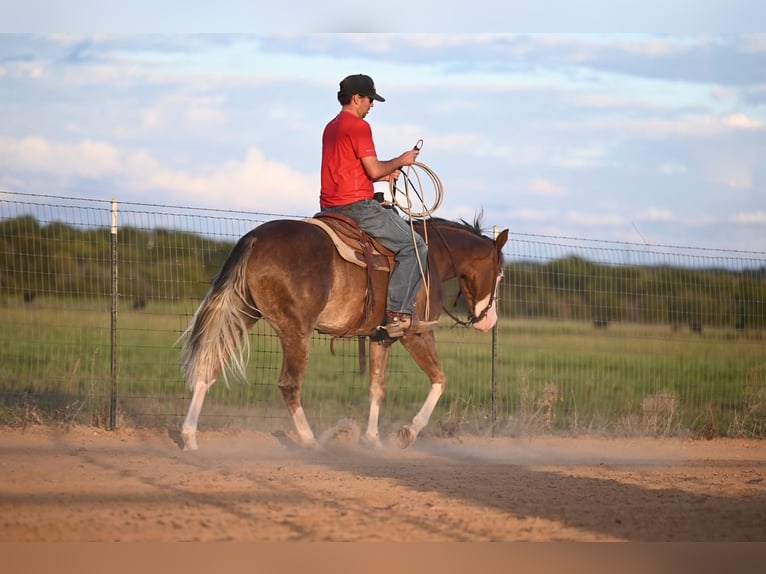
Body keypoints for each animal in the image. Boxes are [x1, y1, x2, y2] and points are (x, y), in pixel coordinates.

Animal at [180, 214, 510, 452]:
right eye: (500, 274)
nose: (488, 321)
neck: (429, 258)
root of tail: (256, 238)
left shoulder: (381, 338)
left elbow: (377, 388)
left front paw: (373, 439)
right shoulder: (415, 334)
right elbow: (440, 380)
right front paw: (407, 432)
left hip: (243, 313)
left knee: (209, 365)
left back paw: (190, 436)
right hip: (296, 331)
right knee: (289, 384)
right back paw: (312, 441)